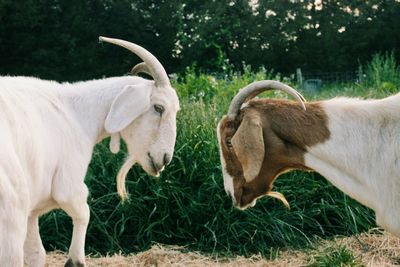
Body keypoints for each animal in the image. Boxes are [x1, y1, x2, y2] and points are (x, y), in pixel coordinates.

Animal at [0, 36, 179, 267]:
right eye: (159, 107)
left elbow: (36, 253)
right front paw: (75, 260)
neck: (76, 112)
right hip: (12, 208)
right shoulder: (68, 185)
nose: (165, 159)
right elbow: (84, 211)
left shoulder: (33, 206)